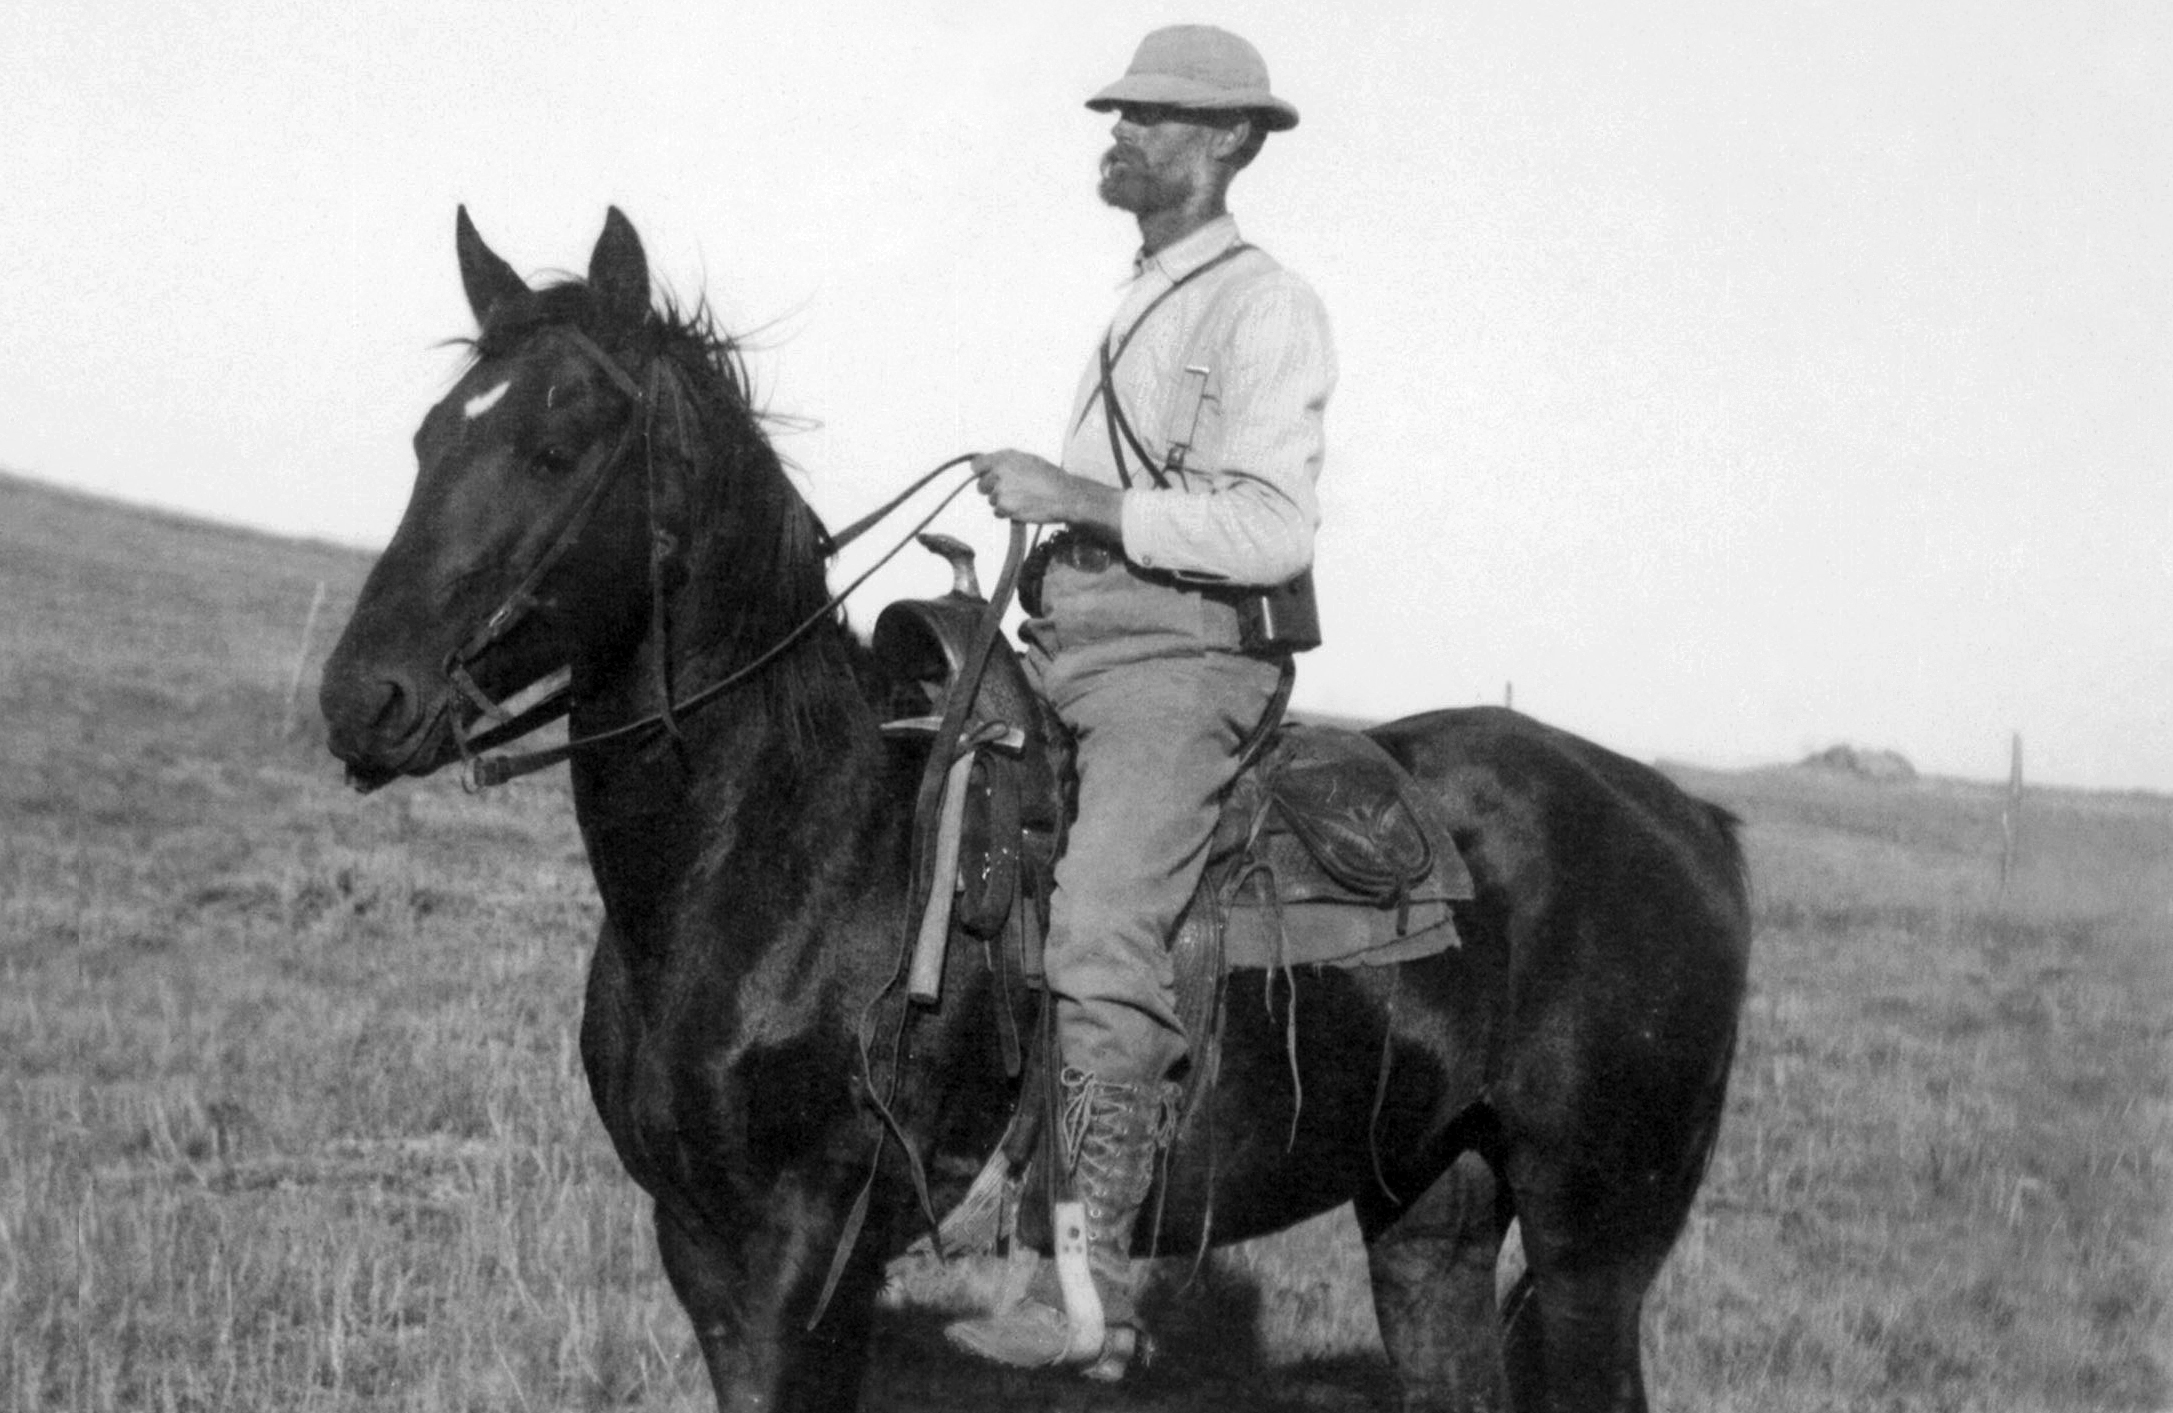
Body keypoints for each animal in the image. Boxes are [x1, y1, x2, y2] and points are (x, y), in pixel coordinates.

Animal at [317, 208, 1747, 1408]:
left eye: (554, 447)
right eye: (431, 436)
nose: (362, 699)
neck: (789, 855)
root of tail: (1687, 823)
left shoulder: (809, 1249)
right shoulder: (698, 1241)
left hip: (1593, 1242)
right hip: (1429, 1213)